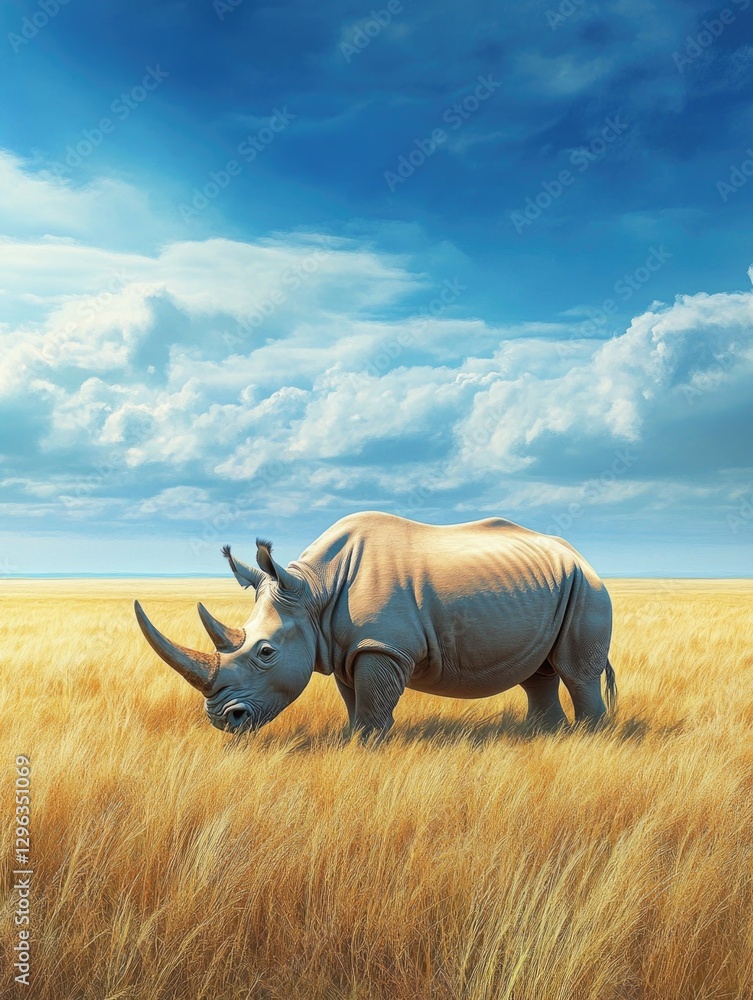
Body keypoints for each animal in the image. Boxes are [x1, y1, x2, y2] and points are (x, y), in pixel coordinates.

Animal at [134, 511, 616, 738]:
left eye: (265, 652)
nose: (222, 720)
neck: (313, 590)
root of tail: (579, 555)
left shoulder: (381, 645)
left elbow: (372, 705)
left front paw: (367, 748)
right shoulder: (345, 646)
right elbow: (355, 701)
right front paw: (355, 741)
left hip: (587, 589)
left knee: (576, 674)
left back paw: (587, 739)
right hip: (553, 586)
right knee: (537, 673)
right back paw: (543, 737)